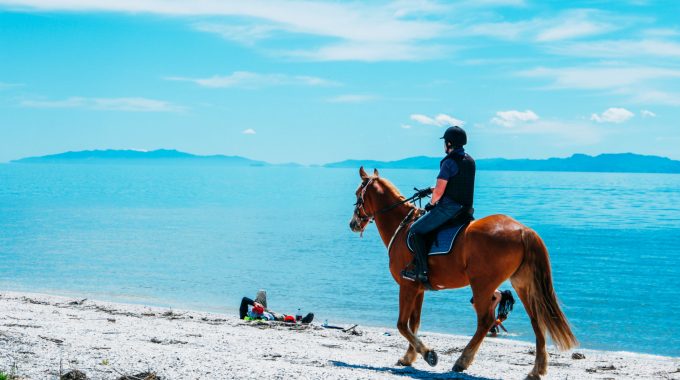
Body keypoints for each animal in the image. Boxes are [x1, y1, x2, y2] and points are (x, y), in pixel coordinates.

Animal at [348, 168, 576, 378]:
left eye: (358, 194)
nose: (353, 224)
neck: (403, 227)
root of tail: (522, 230)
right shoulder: (418, 289)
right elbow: (414, 323)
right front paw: (409, 357)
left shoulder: (407, 286)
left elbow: (402, 325)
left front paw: (428, 354)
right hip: (522, 284)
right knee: (536, 320)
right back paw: (537, 369)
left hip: (482, 285)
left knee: (485, 321)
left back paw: (463, 361)